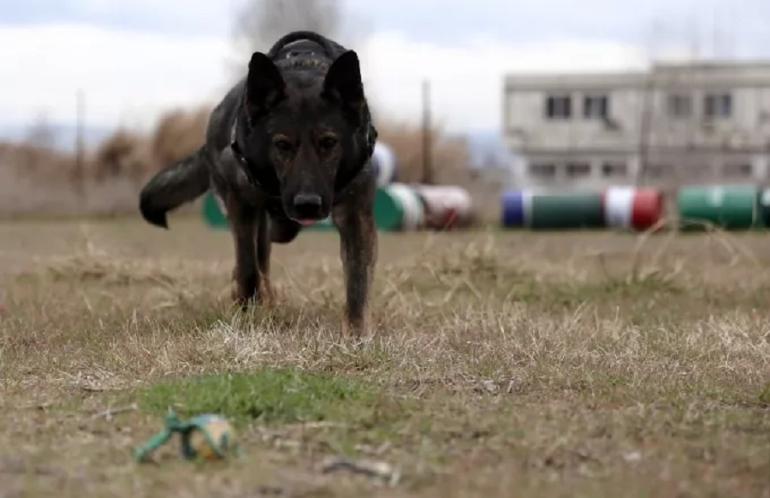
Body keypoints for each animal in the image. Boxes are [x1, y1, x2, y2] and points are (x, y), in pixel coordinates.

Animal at [140, 30, 378, 334]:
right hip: (256, 216)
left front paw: (357, 337)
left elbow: (357, 283)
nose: (308, 205)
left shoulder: (355, 216)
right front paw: (247, 311)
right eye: (282, 145)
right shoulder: (241, 205)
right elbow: (248, 267)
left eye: (328, 143)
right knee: (257, 260)